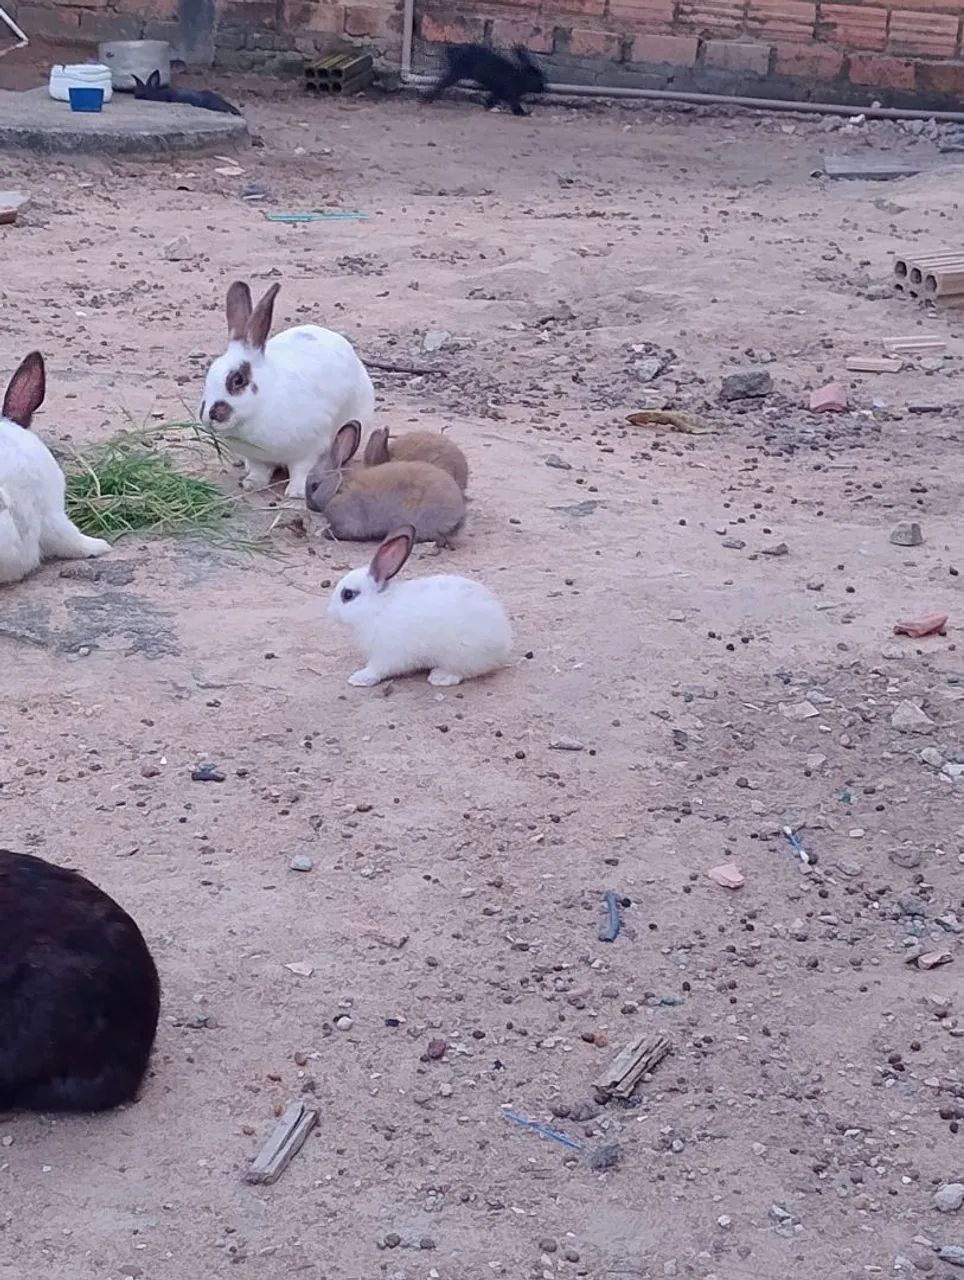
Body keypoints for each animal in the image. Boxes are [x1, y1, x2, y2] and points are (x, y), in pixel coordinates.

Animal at [199, 280, 375, 499]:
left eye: (238, 380)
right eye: (209, 373)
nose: (209, 416)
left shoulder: (309, 450)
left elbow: (301, 471)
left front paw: (296, 492)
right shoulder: (257, 458)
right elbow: (259, 470)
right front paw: (251, 483)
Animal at [328, 525, 513, 687]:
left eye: (348, 595)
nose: (330, 612)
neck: (377, 607)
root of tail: (503, 642)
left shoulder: (387, 654)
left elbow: (377, 669)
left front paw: (359, 678)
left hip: (461, 654)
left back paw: (440, 677)